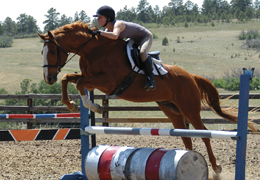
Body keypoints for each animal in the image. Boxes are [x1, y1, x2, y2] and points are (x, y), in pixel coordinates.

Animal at [37, 21, 256, 174]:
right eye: (42, 51)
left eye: (53, 50)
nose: (48, 78)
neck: (95, 49)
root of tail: (190, 76)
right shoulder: (91, 79)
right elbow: (68, 79)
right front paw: (73, 105)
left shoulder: (107, 82)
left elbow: (80, 83)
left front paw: (93, 106)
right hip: (172, 109)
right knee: (186, 136)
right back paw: (188, 157)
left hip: (189, 108)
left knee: (204, 133)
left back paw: (216, 167)